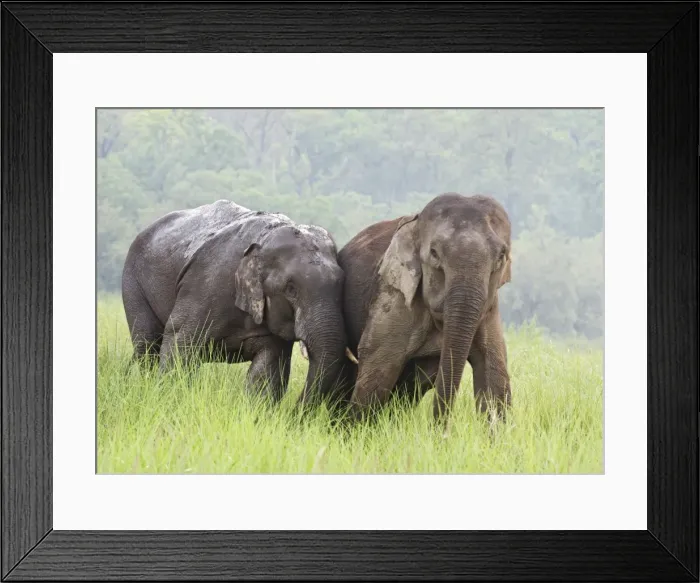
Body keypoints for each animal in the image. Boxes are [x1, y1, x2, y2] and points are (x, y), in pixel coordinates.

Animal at [121, 199, 353, 404]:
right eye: (290, 289)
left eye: (342, 283)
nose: (296, 411)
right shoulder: (205, 285)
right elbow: (179, 342)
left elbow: (267, 370)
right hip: (133, 283)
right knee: (147, 345)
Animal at [331, 192, 513, 423]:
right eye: (434, 253)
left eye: (501, 256)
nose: (441, 430)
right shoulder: (394, 296)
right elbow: (378, 366)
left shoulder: (489, 308)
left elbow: (494, 372)